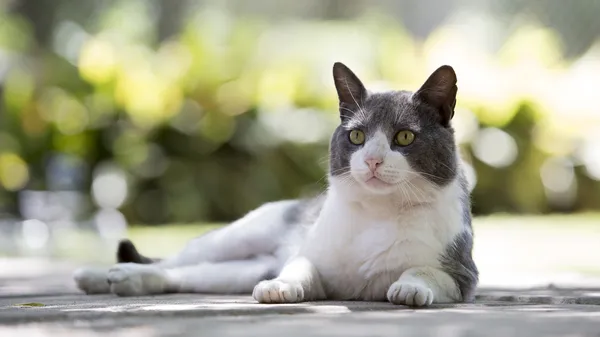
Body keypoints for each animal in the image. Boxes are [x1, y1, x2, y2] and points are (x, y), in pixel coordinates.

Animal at [75, 61, 478, 306]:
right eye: (358, 136)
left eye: (405, 137)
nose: (373, 160)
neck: (377, 215)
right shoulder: (310, 259)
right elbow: (300, 268)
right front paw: (279, 287)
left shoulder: (462, 275)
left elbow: (424, 270)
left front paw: (409, 286)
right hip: (235, 238)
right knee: (176, 260)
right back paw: (101, 275)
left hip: (238, 272)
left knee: (183, 275)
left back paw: (121, 280)